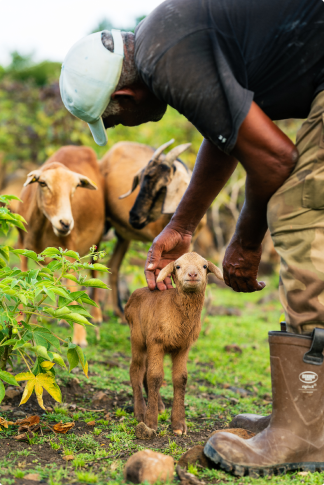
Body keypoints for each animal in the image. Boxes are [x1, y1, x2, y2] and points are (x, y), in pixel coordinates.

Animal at [17, 146, 105, 346]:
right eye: (43, 183)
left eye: (75, 188)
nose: (65, 223)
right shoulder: (23, 246)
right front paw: (18, 322)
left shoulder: (71, 250)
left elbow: (73, 290)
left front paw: (79, 339)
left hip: (96, 242)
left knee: (93, 270)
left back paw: (96, 317)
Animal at [124, 253, 223, 434]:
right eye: (177, 266)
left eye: (205, 266)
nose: (192, 274)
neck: (175, 308)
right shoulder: (156, 342)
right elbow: (155, 377)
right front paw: (150, 422)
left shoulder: (183, 346)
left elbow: (180, 378)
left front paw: (178, 424)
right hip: (138, 336)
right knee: (137, 369)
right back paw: (140, 411)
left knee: (145, 370)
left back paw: (158, 405)